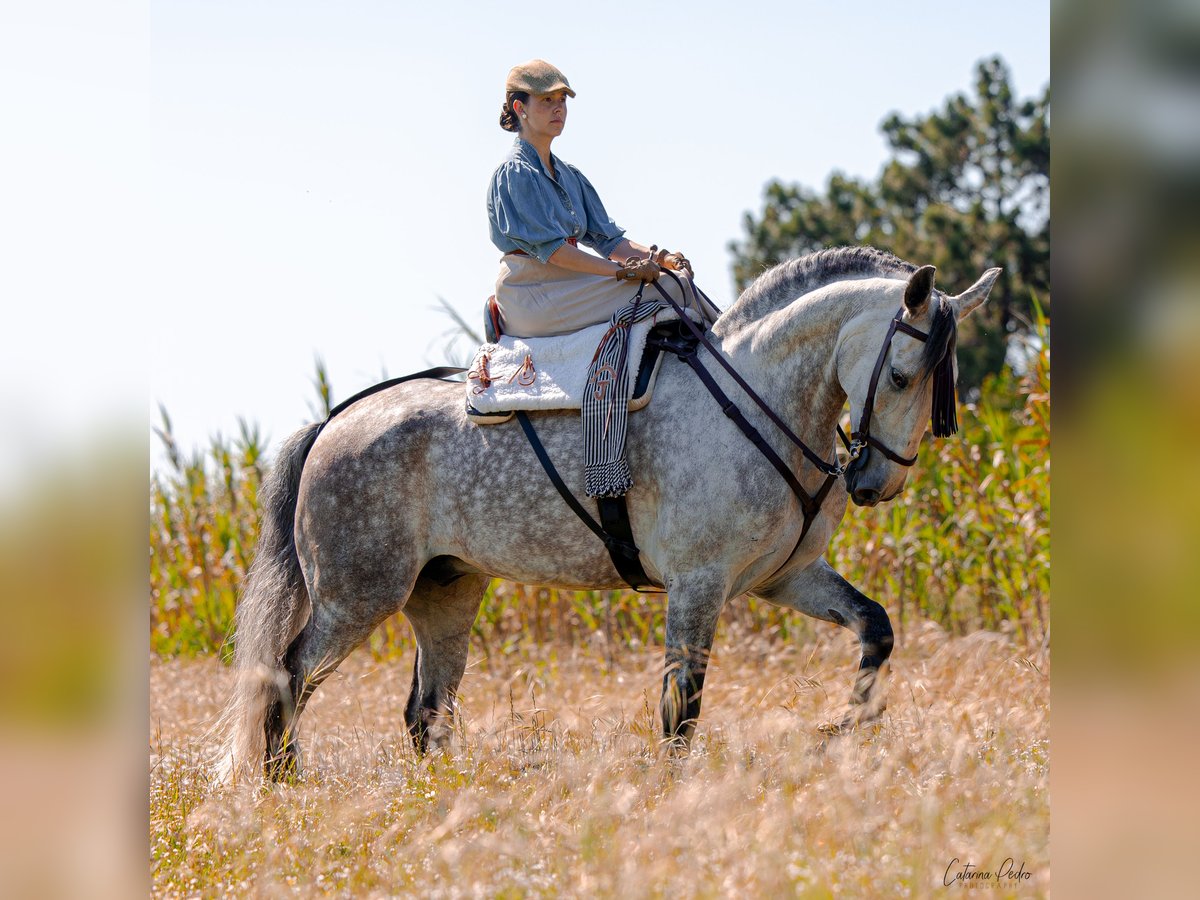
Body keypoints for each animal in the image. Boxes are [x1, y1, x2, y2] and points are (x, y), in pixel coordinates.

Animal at [218, 247, 1003, 782]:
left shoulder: (787, 577)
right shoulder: (698, 585)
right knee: (288, 677)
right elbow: (681, 709)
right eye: (899, 375)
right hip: (358, 596)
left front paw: (844, 728)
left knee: (424, 712)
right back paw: (284, 786)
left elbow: (876, 629)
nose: (875, 483)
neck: (759, 401)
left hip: (445, 593)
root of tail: (331, 421)